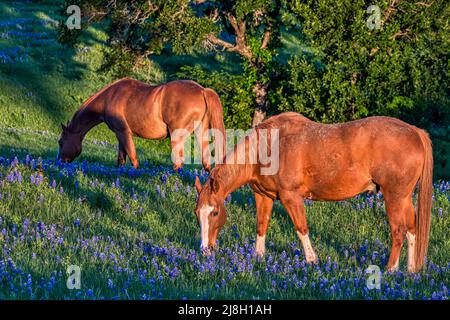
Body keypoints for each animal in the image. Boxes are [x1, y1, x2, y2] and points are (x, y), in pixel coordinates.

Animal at [56, 77, 225, 170]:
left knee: (178, 163)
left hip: (177, 136)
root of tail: (202, 91)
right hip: (201, 132)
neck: (110, 97)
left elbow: (133, 157)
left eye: (60, 142)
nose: (59, 162)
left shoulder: (124, 132)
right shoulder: (120, 135)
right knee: (206, 161)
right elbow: (121, 159)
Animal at [193, 112, 432, 272]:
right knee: (412, 229)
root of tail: (415, 132)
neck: (268, 146)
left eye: (214, 213)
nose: (205, 250)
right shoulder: (264, 196)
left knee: (399, 231)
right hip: (404, 198)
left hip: (393, 197)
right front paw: (258, 257)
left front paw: (312, 260)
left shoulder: (291, 197)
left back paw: (390, 270)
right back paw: (410, 270)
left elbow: (301, 228)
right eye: (197, 214)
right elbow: (261, 226)